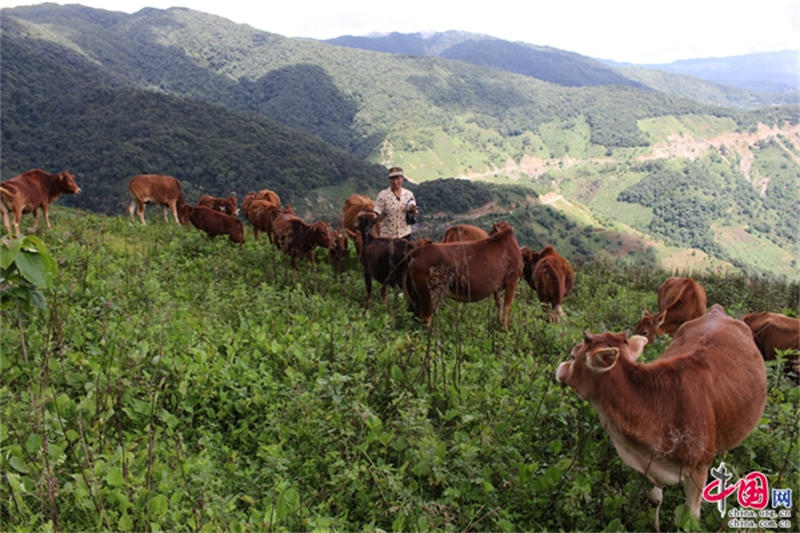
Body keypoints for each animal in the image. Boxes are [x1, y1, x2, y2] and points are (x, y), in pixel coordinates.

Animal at [556, 306, 768, 528]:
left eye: (573, 356)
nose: (559, 368)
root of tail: (717, 311)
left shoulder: (699, 470)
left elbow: (690, 518)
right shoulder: (650, 461)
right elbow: (654, 500)